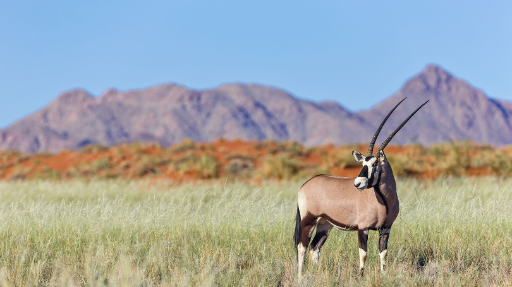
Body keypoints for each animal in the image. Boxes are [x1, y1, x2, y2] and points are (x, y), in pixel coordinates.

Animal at [292, 98, 428, 278]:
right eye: (363, 163)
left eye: (375, 163)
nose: (357, 183)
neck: (384, 200)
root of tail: (305, 185)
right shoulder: (363, 228)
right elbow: (363, 253)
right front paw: (361, 275)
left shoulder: (386, 229)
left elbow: (383, 254)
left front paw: (383, 275)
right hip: (309, 220)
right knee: (302, 247)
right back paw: (300, 277)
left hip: (324, 224)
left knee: (315, 247)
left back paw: (316, 272)